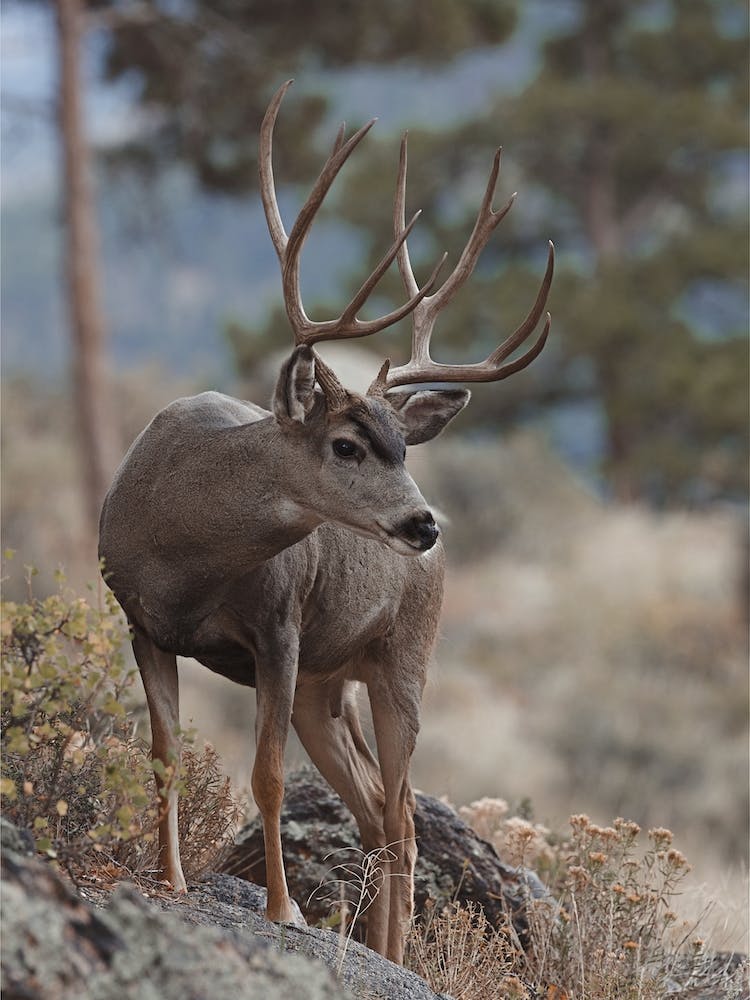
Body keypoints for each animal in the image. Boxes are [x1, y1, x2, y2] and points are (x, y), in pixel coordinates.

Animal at [98, 79, 554, 965]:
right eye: (347, 444)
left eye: (398, 445)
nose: (423, 524)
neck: (184, 554)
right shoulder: (143, 622)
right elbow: (165, 757)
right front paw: (168, 882)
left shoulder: (280, 628)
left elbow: (267, 776)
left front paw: (284, 912)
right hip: (327, 684)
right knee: (376, 807)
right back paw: (377, 944)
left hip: (402, 656)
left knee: (403, 815)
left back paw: (393, 955)